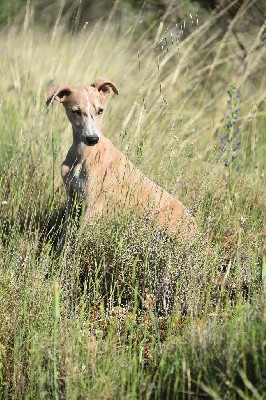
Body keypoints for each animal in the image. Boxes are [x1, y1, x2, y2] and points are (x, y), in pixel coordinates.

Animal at [45, 79, 195, 245]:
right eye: (76, 111)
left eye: (100, 111)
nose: (93, 139)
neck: (84, 154)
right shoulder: (72, 199)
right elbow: (64, 235)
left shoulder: (93, 205)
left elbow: (78, 241)